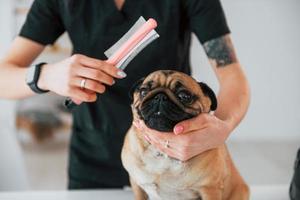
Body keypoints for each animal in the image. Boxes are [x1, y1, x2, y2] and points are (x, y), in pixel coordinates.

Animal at [120, 69, 250, 199]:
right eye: (143, 91)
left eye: (184, 96)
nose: (160, 97)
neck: (163, 153)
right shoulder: (137, 184)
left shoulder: (210, 189)